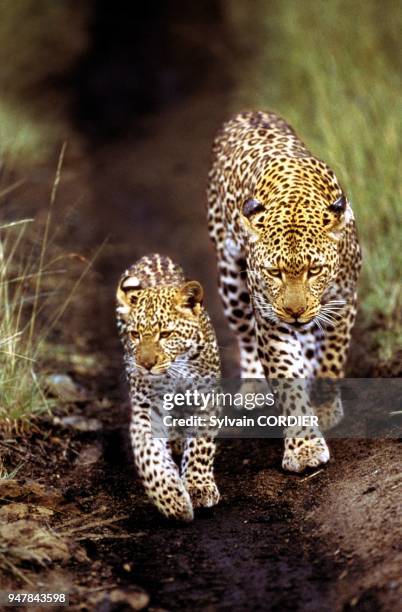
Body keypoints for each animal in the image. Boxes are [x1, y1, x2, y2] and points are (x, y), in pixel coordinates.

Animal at [207, 111, 362, 474]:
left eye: (314, 270)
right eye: (274, 272)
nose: (294, 312)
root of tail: (248, 112)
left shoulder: (342, 302)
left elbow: (331, 362)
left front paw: (325, 409)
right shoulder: (271, 321)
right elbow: (287, 382)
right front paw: (304, 447)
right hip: (231, 282)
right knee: (245, 335)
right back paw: (252, 386)